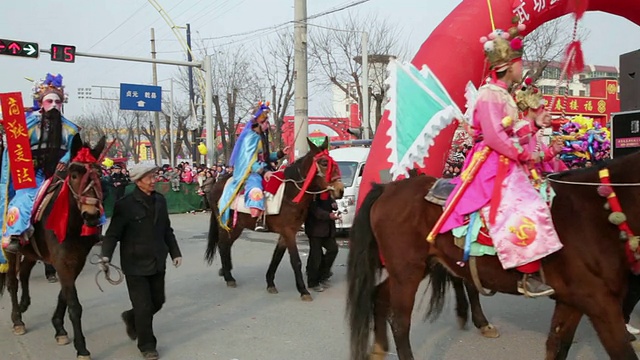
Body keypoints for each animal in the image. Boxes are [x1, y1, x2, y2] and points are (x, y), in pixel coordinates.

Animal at [0, 134, 106, 360]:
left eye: (99, 174)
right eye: (74, 175)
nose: (92, 216)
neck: (70, 225)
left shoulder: (75, 262)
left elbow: (63, 296)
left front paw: (59, 328)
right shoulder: (63, 262)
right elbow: (74, 305)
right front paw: (81, 347)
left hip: (32, 253)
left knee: (24, 273)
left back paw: (24, 304)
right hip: (10, 251)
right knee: (13, 281)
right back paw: (17, 319)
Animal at [206, 138, 344, 300]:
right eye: (324, 163)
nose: (340, 190)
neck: (290, 194)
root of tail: (216, 185)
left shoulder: (287, 233)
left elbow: (276, 257)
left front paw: (270, 283)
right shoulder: (289, 232)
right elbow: (295, 261)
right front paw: (303, 291)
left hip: (237, 226)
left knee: (226, 245)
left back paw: (226, 271)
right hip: (225, 223)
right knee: (222, 245)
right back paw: (229, 277)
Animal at [348, 153, 640, 360]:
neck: (593, 212)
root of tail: (387, 188)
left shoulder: (573, 301)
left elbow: (557, 346)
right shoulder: (599, 302)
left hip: (417, 267)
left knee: (378, 296)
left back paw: (378, 348)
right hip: (407, 270)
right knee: (400, 322)